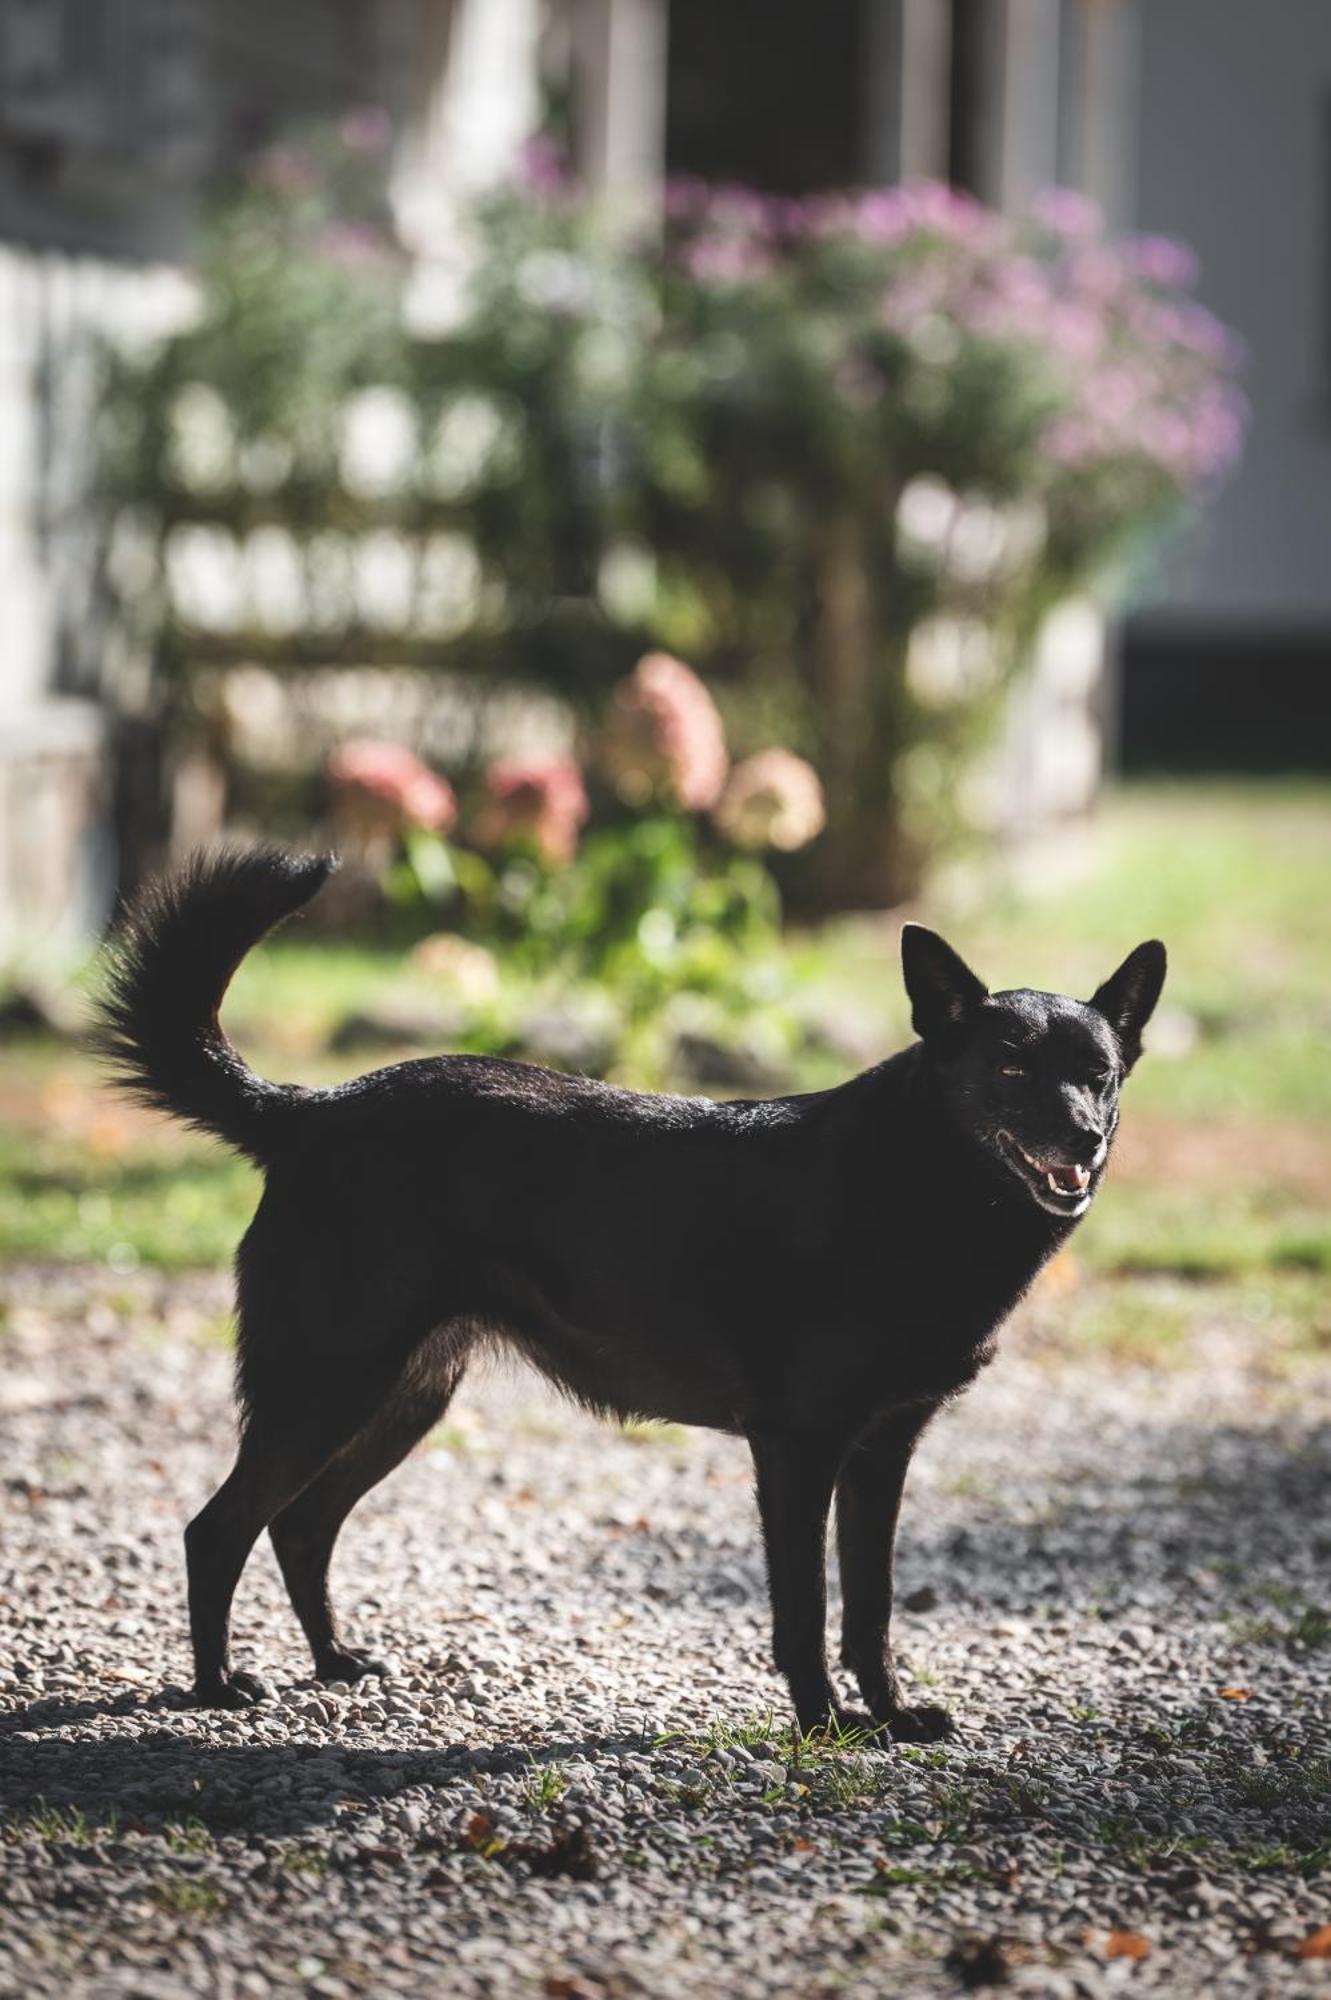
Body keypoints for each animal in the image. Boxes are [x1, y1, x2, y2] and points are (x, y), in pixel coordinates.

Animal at [98, 848, 1159, 1736]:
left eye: (1098, 1074)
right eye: (1010, 1067)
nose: (1083, 1138)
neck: (919, 1183)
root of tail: (310, 1113)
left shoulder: (881, 1452)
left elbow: (870, 1609)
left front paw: (892, 1715)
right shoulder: (799, 1449)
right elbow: (804, 1611)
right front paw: (826, 1726)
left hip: (399, 1398)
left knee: (299, 1524)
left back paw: (334, 1661)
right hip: (325, 1385)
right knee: (217, 1529)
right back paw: (214, 1688)